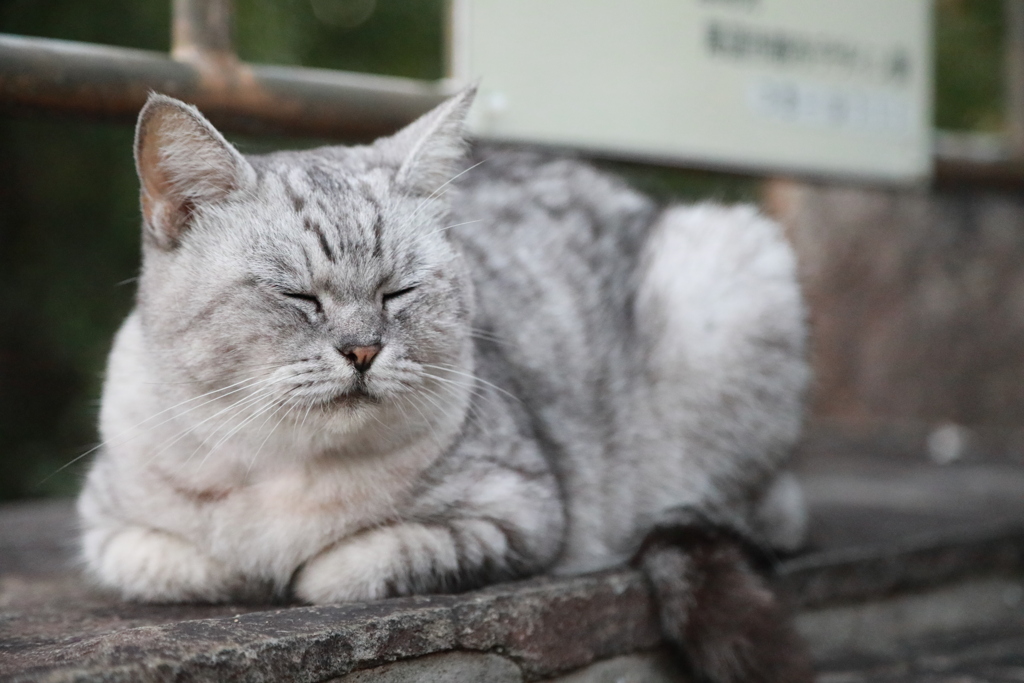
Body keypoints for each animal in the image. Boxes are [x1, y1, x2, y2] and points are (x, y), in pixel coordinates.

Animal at [75, 88, 811, 679]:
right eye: (299, 297)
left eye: (397, 293)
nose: (363, 349)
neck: (284, 463)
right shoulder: (108, 530)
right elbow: (184, 562)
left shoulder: (521, 512)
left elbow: (347, 566)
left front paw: (298, 568)